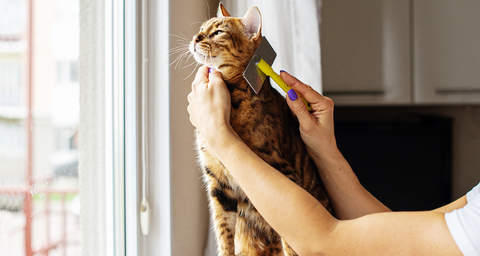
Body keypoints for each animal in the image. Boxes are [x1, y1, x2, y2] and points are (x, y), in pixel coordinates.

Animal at [189, 4, 332, 256]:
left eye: (218, 32)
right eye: (201, 29)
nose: (196, 38)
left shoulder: (282, 172)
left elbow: (289, 240)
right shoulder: (218, 182)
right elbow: (224, 233)